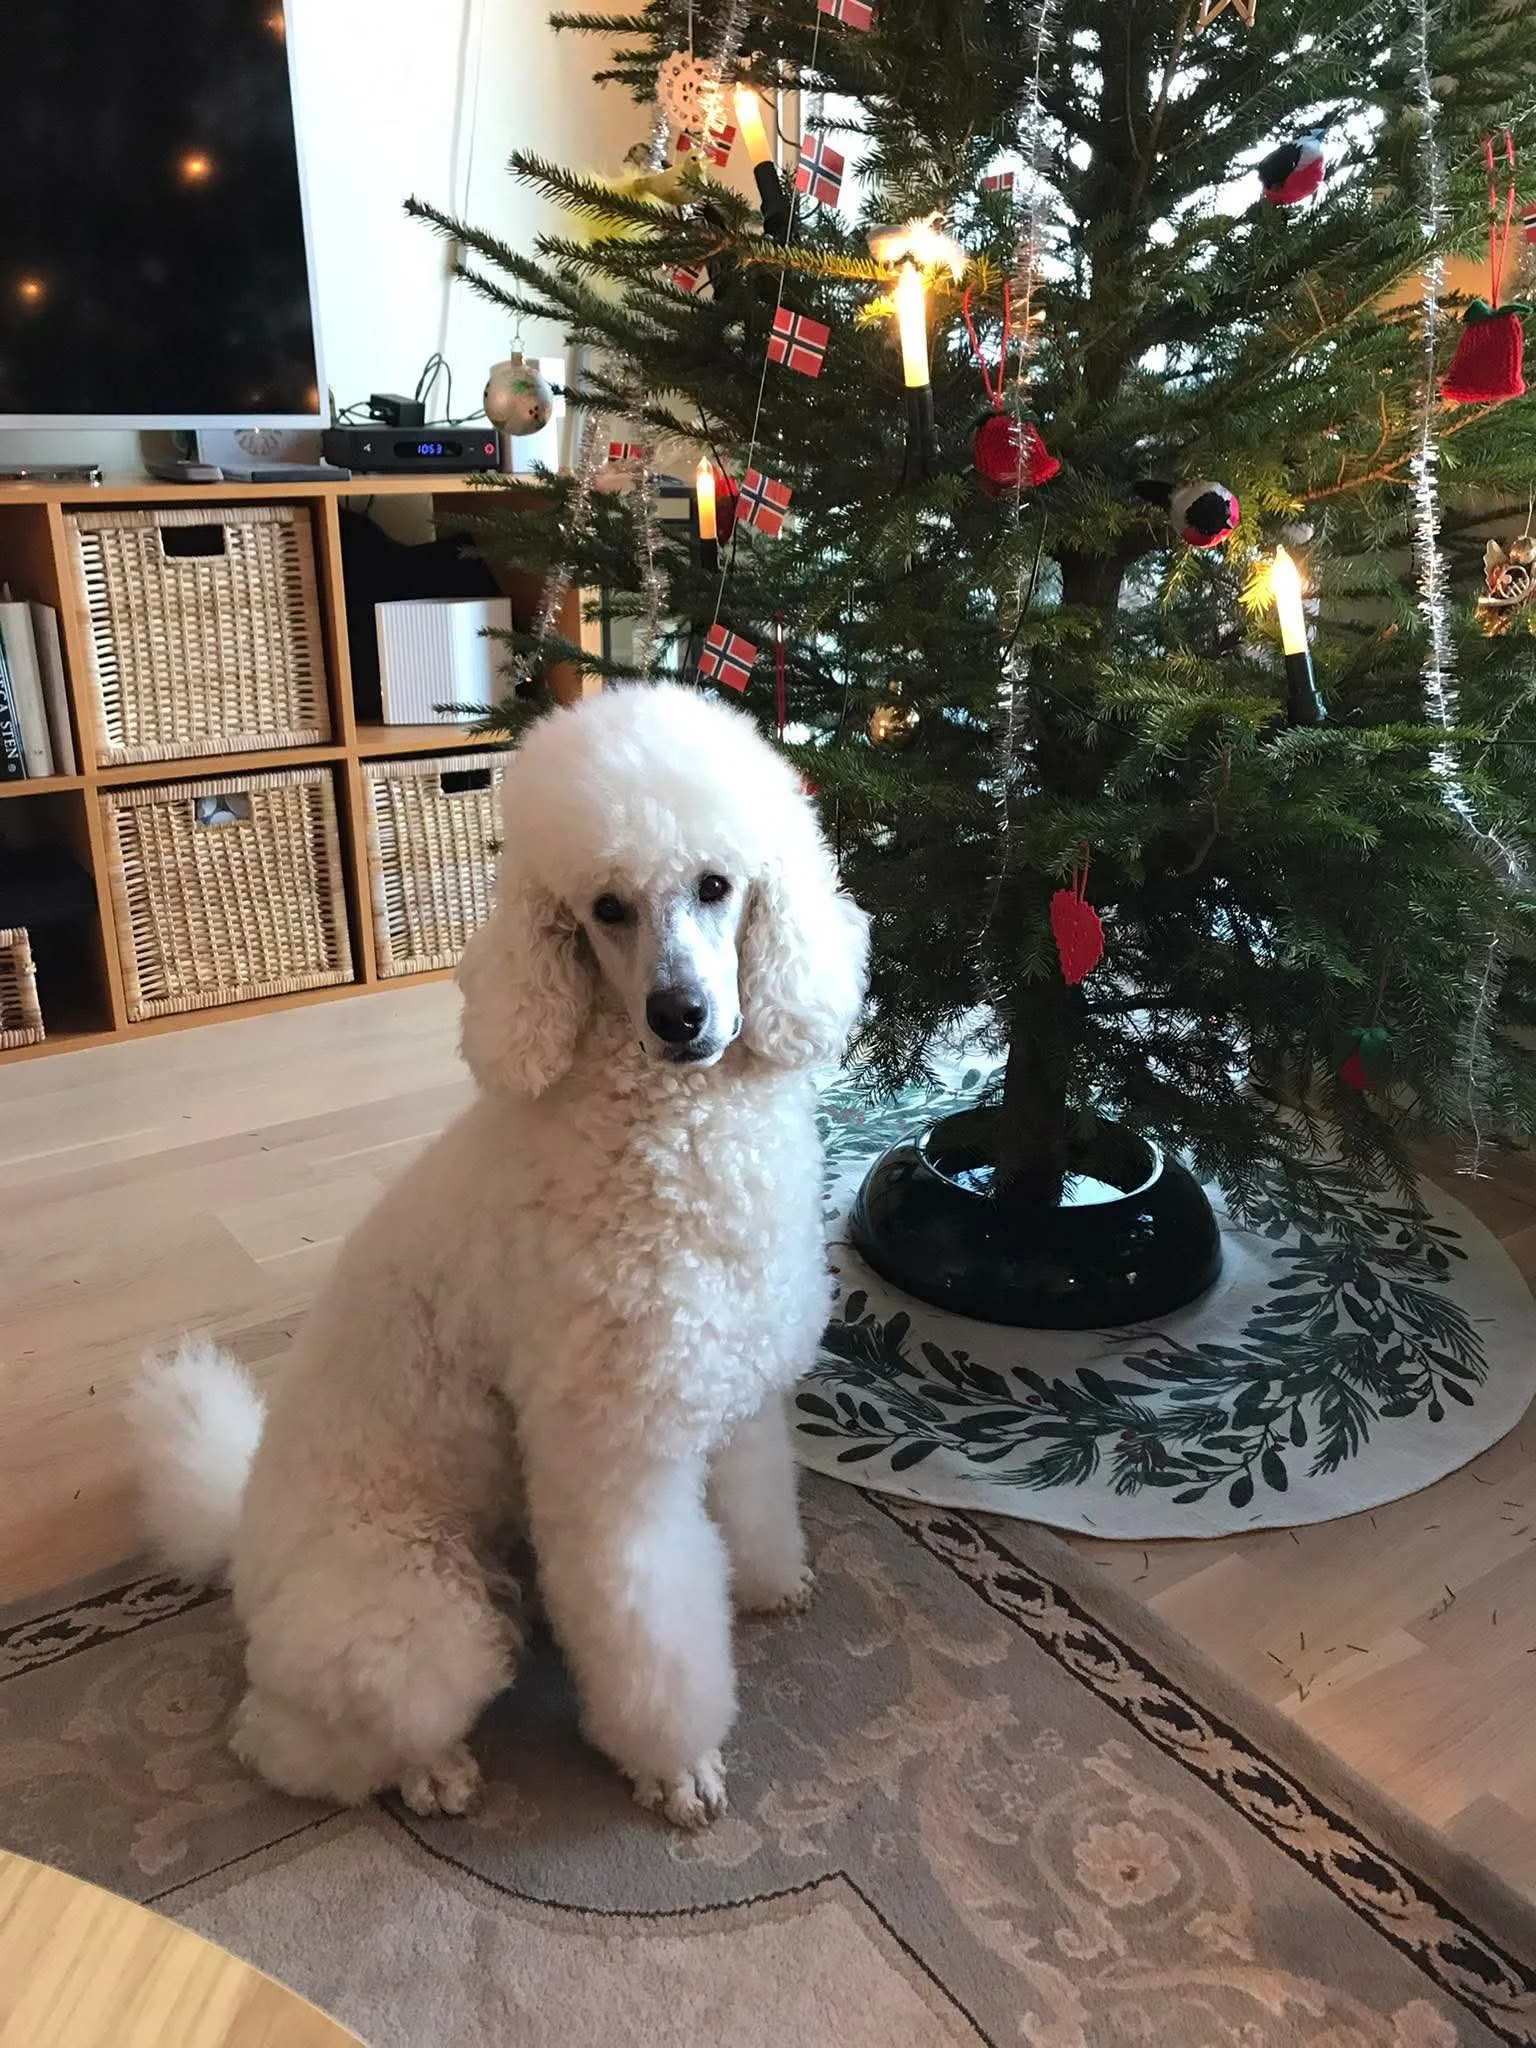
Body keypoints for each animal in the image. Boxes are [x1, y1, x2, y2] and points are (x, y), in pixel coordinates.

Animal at [130, 683, 869, 1828]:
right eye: (607, 907)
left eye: (716, 885)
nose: (681, 1016)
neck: (672, 1133)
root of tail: (242, 1537)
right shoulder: (611, 1464)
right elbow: (652, 1628)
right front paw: (675, 1766)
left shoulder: (737, 1396)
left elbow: (753, 1510)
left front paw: (769, 1586)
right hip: (419, 1602)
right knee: (291, 1735)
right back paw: (431, 1771)